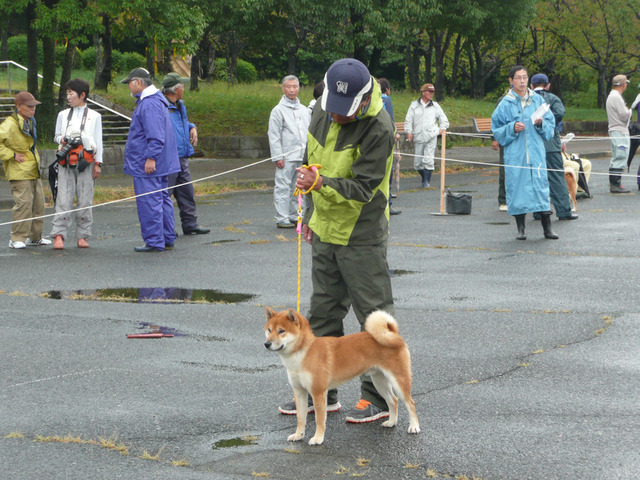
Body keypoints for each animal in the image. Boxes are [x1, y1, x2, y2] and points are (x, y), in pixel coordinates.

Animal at [264, 308, 420, 446]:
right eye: (269, 330)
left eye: (281, 331)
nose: (266, 344)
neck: (303, 353)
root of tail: (393, 334)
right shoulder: (300, 392)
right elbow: (300, 418)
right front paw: (298, 435)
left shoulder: (318, 392)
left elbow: (319, 419)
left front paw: (318, 438)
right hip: (379, 381)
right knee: (393, 401)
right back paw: (391, 422)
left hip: (399, 380)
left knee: (410, 403)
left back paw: (414, 426)